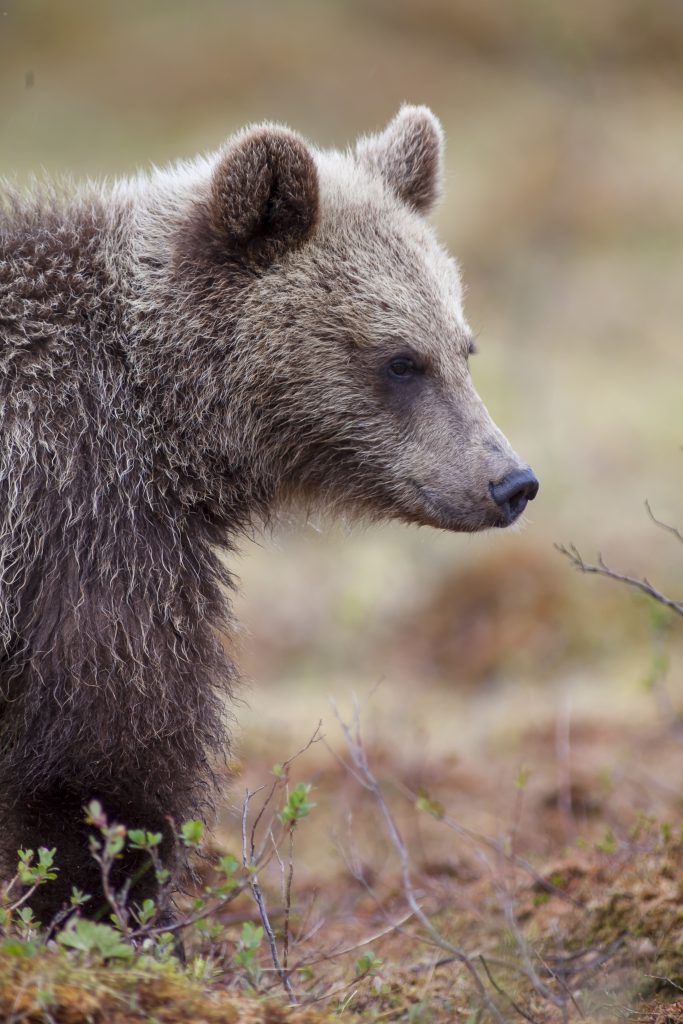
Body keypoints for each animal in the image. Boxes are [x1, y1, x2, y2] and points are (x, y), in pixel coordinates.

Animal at [0, 106, 538, 922]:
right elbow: (108, 746)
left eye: (462, 347)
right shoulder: (81, 510)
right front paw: (106, 904)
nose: (511, 482)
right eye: (400, 360)